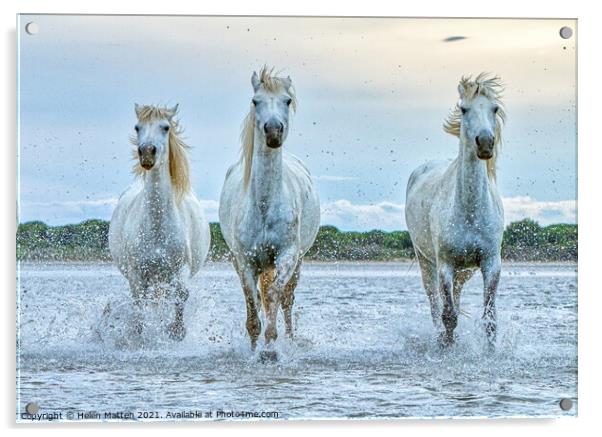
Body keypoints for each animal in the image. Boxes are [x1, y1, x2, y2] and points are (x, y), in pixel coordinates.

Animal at [109, 103, 210, 340]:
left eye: (165, 127)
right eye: (137, 127)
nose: (147, 153)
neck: (157, 226)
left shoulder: (181, 269)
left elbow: (181, 294)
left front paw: (176, 331)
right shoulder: (137, 274)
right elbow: (138, 303)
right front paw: (138, 333)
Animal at [219, 66, 322, 356]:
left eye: (287, 100)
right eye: (256, 101)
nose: (273, 131)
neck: (264, 205)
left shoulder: (287, 256)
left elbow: (275, 295)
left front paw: (270, 347)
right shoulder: (244, 261)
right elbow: (253, 302)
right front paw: (255, 347)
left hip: (297, 261)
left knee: (287, 299)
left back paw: (289, 339)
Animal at [404, 76, 506, 348]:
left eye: (494, 108)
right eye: (463, 109)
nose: (485, 143)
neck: (469, 211)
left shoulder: (491, 262)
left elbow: (489, 319)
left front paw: (491, 352)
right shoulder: (445, 264)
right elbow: (448, 316)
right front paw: (446, 347)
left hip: (465, 269)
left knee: (456, 298)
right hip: (426, 261)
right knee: (435, 303)